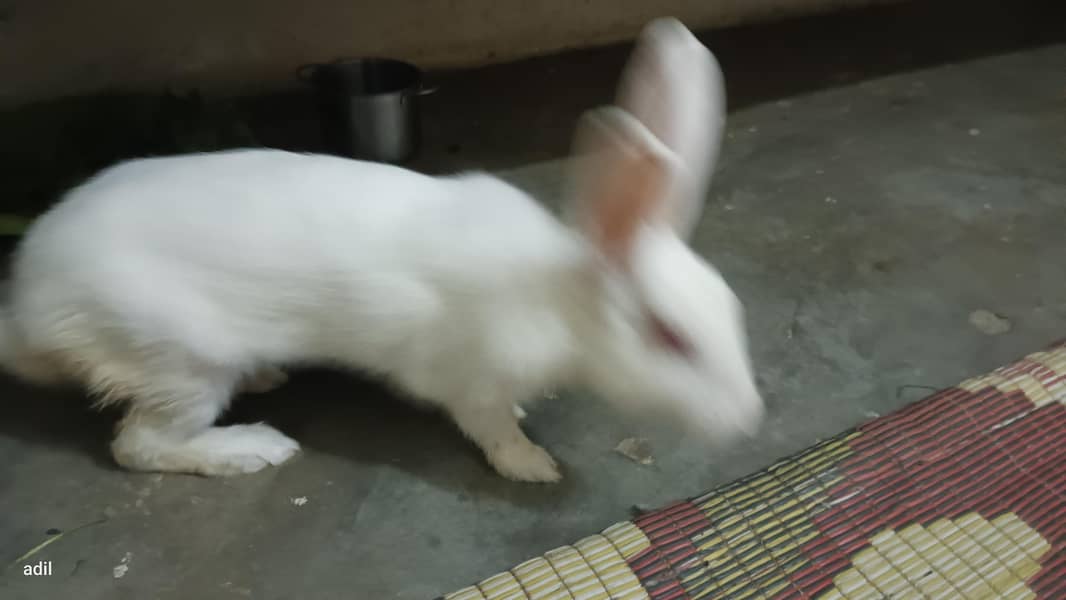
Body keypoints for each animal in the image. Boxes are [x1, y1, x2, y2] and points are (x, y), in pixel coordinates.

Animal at [0, 18, 762, 482]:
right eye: (670, 338)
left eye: (731, 311)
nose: (749, 420)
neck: (557, 298)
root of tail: (29, 308)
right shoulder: (470, 379)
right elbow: (489, 428)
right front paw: (531, 464)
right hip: (178, 363)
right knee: (139, 445)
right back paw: (254, 448)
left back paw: (266, 379)